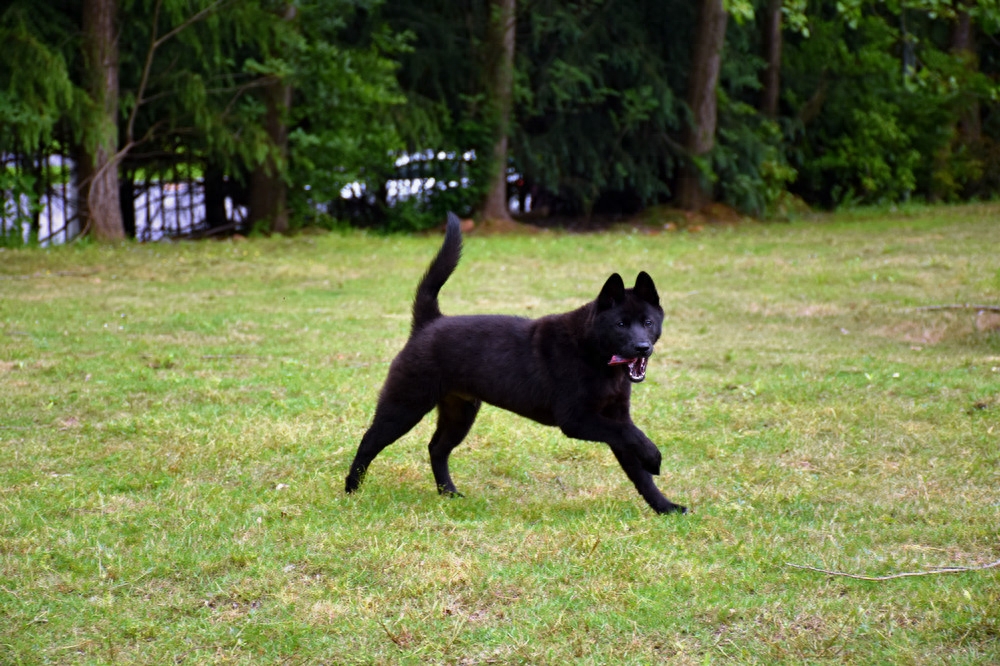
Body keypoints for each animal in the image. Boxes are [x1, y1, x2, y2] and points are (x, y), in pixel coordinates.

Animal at [346, 213, 688, 512]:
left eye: (647, 322)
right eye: (620, 324)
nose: (643, 347)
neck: (594, 355)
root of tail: (429, 323)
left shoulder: (613, 416)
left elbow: (636, 466)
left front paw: (664, 506)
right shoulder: (576, 419)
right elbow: (631, 435)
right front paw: (654, 457)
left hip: (460, 410)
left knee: (436, 448)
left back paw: (449, 493)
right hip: (406, 403)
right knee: (369, 441)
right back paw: (351, 490)